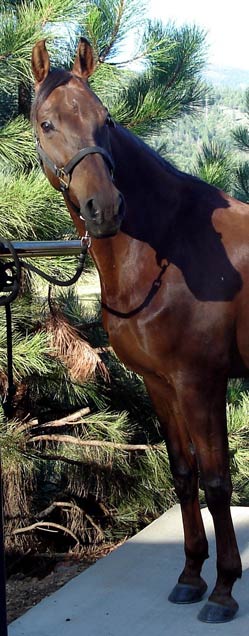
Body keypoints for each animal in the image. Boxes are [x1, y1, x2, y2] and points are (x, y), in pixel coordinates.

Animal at [31, 37, 249, 624]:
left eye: (104, 119)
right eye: (46, 123)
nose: (104, 208)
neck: (171, 248)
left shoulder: (201, 383)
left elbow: (217, 480)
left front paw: (224, 590)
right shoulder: (160, 383)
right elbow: (183, 474)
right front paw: (191, 576)